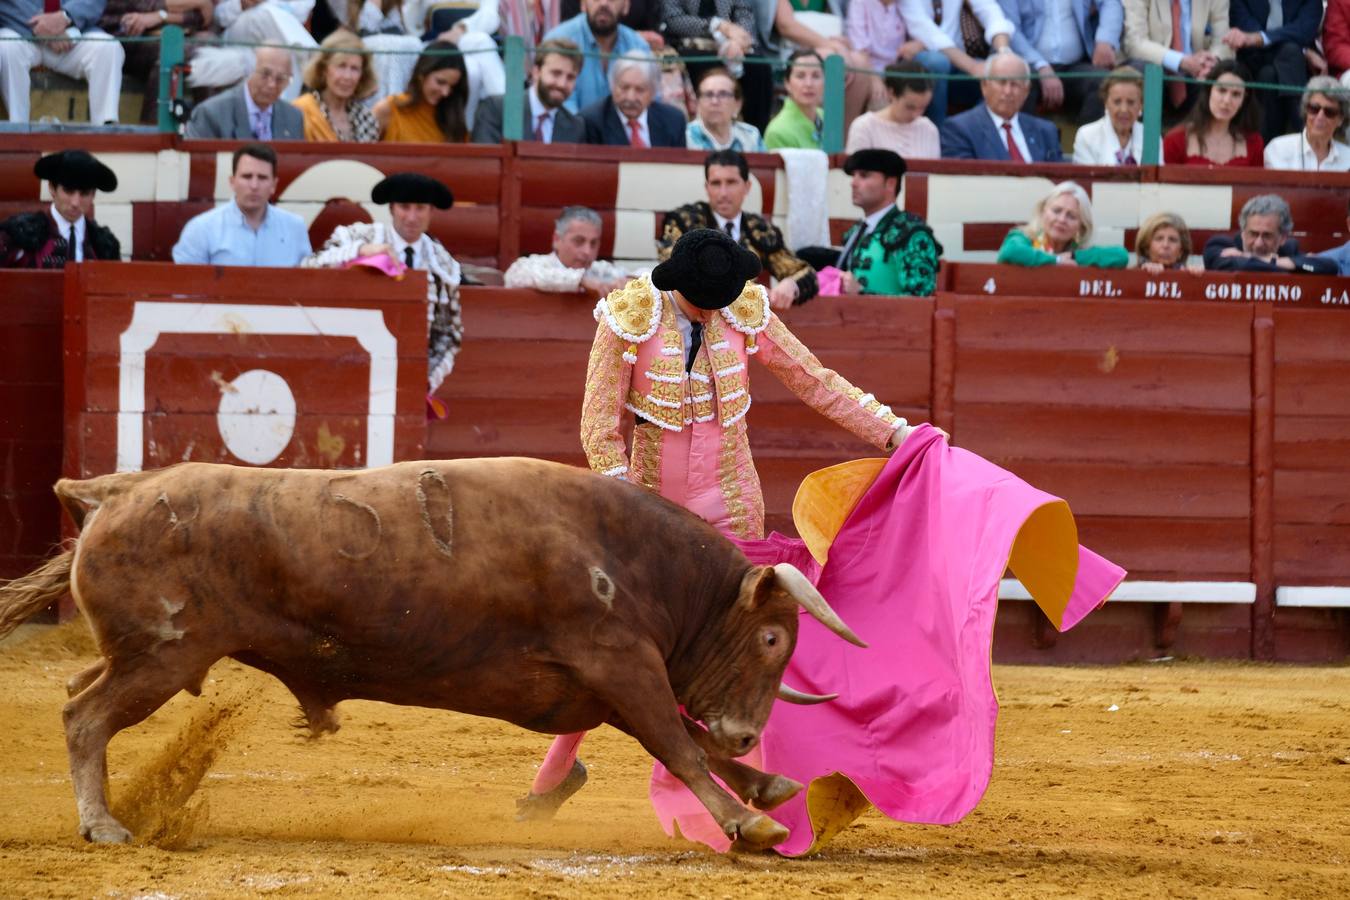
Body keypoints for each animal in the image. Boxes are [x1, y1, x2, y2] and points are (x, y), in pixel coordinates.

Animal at [0, 461, 864, 847]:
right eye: (773, 638)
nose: (748, 733)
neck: (629, 554)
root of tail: (109, 492)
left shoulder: (599, 683)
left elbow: (680, 739)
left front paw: (768, 786)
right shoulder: (618, 661)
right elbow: (679, 745)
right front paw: (750, 823)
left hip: (145, 657)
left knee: (79, 688)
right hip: (162, 659)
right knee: (83, 716)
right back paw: (102, 826)